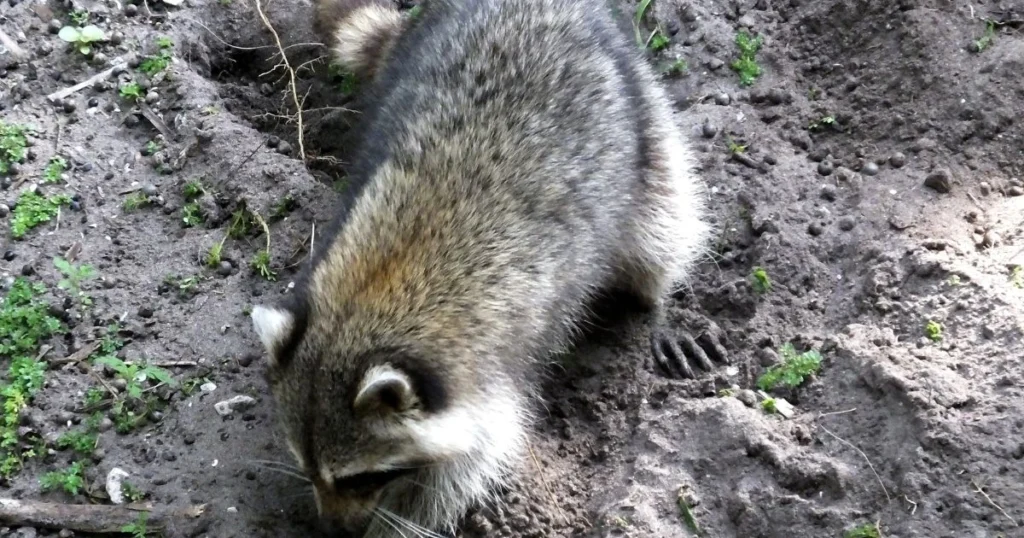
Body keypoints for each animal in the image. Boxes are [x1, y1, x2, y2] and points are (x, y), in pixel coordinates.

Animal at [249, 0, 712, 532]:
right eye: (307, 468)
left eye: (360, 477)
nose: (332, 527)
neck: (375, 290)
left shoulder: (491, 378)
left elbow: (463, 471)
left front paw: (397, 522)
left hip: (640, 112)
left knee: (661, 221)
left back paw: (656, 299)